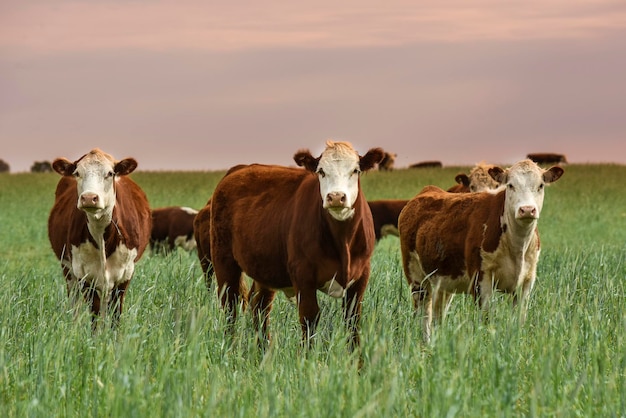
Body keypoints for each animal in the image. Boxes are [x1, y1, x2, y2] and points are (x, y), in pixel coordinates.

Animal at [47, 149, 151, 328]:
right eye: (77, 173)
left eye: (110, 173)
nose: (89, 197)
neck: (102, 236)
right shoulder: (84, 275)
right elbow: (94, 317)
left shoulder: (125, 274)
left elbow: (116, 315)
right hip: (68, 269)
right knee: (75, 303)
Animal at [207, 142, 382, 348]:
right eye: (321, 171)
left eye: (356, 170)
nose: (336, 197)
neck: (343, 243)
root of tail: (239, 168)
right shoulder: (303, 275)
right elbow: (310, 318)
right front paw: (308, 355)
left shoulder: (361, 275)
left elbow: (352, 320)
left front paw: (356, 357)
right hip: (224, 260)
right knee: (230, 306)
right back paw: (230, 348)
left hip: (265, 268)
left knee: (259, 305)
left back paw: (263, 351)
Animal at [398, 158, 564, 342]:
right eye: (510, 185)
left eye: (541, 185)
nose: (527, 209)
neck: (516, 246)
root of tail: (426, 192)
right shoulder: (480, 278)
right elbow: (486, 318)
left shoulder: (527, 280)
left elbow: (519, 320)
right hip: (416, 276)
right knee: (423, 313)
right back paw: (425, 342)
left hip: (444, 280)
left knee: (438, 313)